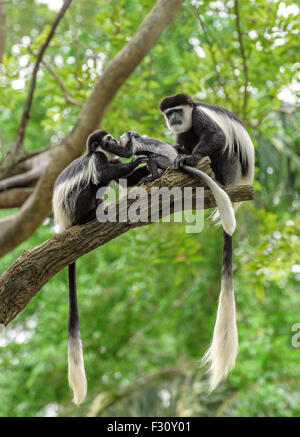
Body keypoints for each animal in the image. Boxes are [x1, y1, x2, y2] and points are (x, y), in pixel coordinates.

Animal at [53, 129, 149, 402]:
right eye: (106, 139)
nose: (115, 140)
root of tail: (65, 224)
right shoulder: (97, 159)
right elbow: (103, 174)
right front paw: (137, 161)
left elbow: (125, 179)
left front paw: (144, 169)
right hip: (74, 205)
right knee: (92, 185)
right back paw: (89, 215)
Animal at [158, 93, 254, 390]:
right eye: (169, 114)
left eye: (178, 111)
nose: (174, 119)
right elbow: (178, 141)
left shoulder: (200, 117)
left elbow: (216, 136)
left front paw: (187, 158)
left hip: (229, 166)